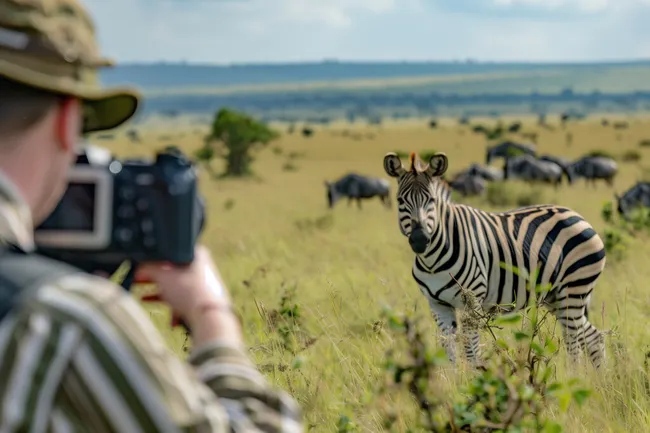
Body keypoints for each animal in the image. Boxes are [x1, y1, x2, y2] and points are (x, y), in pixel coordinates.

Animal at [382, 151, 607, 368]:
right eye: (400, 201)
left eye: (431, 200)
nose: (420, 240)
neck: (433, 262)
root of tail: (578, 216)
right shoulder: (437, 305)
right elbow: (449, 354)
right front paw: (453, 381)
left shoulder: (472, 300)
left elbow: (471, 353)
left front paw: (474, 380)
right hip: (556, 296)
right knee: (594, 338)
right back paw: (600, 379)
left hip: (573, 289)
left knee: (574, 346)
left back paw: (576, 377)